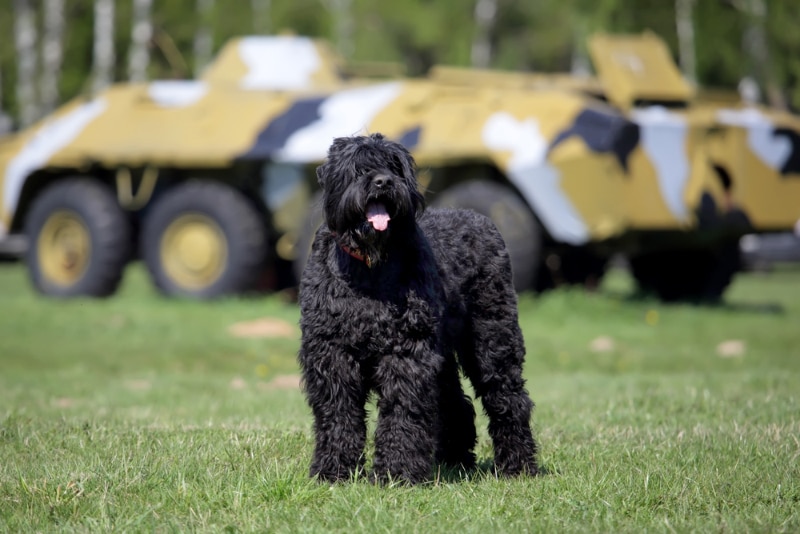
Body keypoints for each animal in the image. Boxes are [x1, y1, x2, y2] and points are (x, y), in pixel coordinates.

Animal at [300, 134, 536, 486]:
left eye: (395, 165)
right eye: (358, 166)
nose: (383, 181)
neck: (369, 268)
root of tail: (483, 220)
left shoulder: (405, 353)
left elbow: (402, 411)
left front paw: (396, 472)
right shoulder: (332, 355)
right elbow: (338, 413)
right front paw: (333, 470)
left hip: (491, 340)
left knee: (508, 398)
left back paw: (518, 465)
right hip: (444, 352)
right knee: (454, 402)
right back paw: (454, 460)